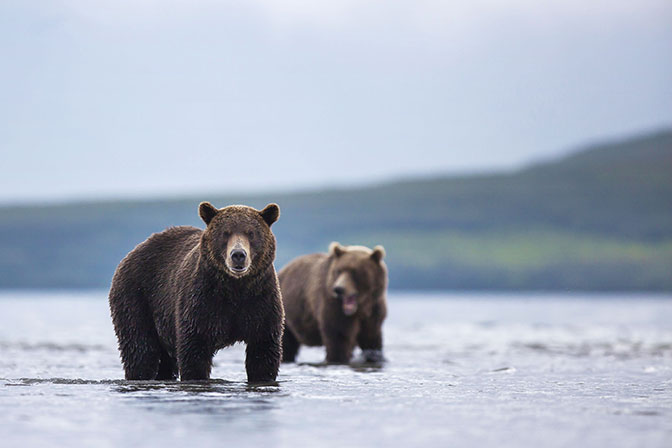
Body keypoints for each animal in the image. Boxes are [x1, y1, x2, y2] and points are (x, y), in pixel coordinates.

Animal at [107, 202, 284, 382]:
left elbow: (263, 354)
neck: (235, 287)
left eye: (251, 233)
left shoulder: (261, 302)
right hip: (137, 297)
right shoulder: (201, 302)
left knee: (163, 361)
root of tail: (134, 251)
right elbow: (194, 351)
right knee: (141, 350)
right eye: (225, 233)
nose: (238, 255)